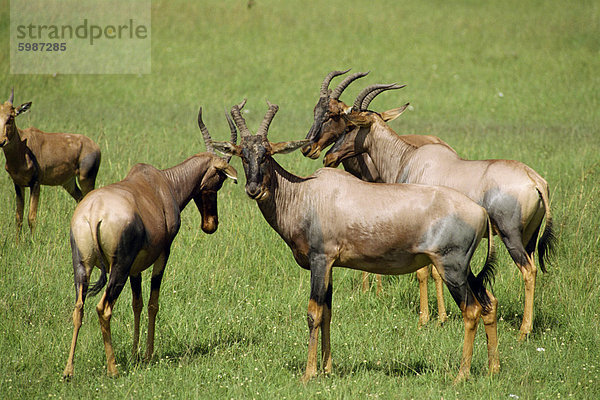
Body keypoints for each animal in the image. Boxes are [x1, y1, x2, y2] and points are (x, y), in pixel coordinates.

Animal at [0, 89, 102, 241]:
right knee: (80, 200)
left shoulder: (35, 183)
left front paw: (33, 242)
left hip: (86, 179)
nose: (2, 141)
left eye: (11, 117)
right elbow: (18, 218)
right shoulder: (18, 184)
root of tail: (95, 146)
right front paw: (18, 243)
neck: (23, 148)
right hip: (69, 183)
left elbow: (31, 217)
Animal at [62, 106, 238, 378]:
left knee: (78, 308)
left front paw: (135, 353)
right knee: (103, 308)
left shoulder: (136, 267)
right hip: (118, 268)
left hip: (82, 264)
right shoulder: (162, 253)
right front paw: (147, 355)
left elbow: (137, 303)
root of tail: (94, 213)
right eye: (218, 180)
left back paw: (68, 370)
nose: (211, 224)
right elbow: (153, 303)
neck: (161, 183)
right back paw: (113, 368)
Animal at [213, 100, 500, 384]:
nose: (254, 190)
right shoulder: (330, 265)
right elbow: (327, 312)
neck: (307, 193)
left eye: (267, 153)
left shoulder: (320, 260)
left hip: (451, 268)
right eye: (242, 154)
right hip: (464, 269)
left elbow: (313, 313)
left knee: (471, 310)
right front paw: (327, 369)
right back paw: (493, 369)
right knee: (487, 303)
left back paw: (461, 375)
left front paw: (309, 373)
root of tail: (480, 211)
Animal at [322, 80, 556, 340]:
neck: (410, 158)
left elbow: (424, 273)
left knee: (528, 270)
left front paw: (425, 320)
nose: (328, 157)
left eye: (350, 126)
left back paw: (524, 331)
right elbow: (435, 272)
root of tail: (534, 180)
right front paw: (441, 318)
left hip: (510, 235)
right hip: (529, 237)